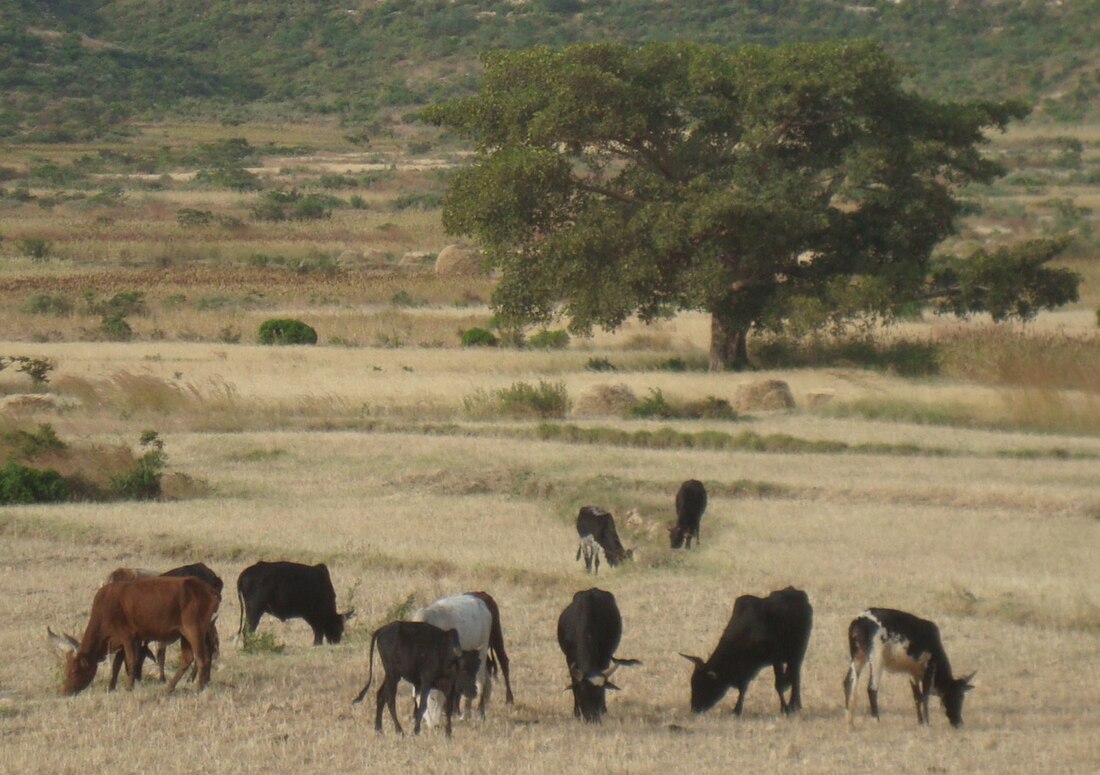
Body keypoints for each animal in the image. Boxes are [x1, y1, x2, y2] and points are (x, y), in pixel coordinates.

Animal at [50, 576, 222, 694]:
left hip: (194, 630)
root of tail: (209, 590)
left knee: (201, 657)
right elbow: (117, 665)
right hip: (186, 634)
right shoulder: (124, 640)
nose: (65, 692)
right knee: (189, 658)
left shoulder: (129, 637)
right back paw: (171, 688)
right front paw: (111, 686)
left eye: (74, 671)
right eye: (66, 670)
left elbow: (131, 661)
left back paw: (199, 687)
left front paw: (129, 687)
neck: (106, 606)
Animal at [352, 615, 481, 738]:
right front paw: (416, 730)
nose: (473, 692)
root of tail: (382, 630)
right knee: (390, 700)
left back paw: (379, 729)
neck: (445, 656)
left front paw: (448, 733)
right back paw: (399, 730)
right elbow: (422, 706)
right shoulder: (425, 684)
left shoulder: (449, 688)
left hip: (391, 676)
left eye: (476, 669)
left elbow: (448, 708)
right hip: (393, 675)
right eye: (463, 669)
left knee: (381, 696)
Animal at [554, 584, 642, 721]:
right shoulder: (569, 659)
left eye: (600, 694)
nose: (592, 718)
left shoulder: (604, 657)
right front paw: (576, 712)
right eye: (581, 691)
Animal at [673, 584, 814, 712]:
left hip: (798, 652)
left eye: (703, 684)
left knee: (796, 676)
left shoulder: (776, 658)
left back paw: (795, 704)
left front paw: (785, 708)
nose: (694, 709)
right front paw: (737, 709)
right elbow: (743, 686)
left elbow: (779, 684)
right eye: (692, 683)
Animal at [844, 606, 976, 729]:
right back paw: (876, 721)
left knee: (849, 682)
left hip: (858, 657)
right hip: (876, 659)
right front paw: (927, 723)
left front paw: (920, 722)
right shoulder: (928, 669)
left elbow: (917, 697)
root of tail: (860, 619)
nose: (958, 723)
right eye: (956, 697)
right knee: (872, 688)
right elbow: (925, 696)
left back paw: (850, 724)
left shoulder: (912, 673)